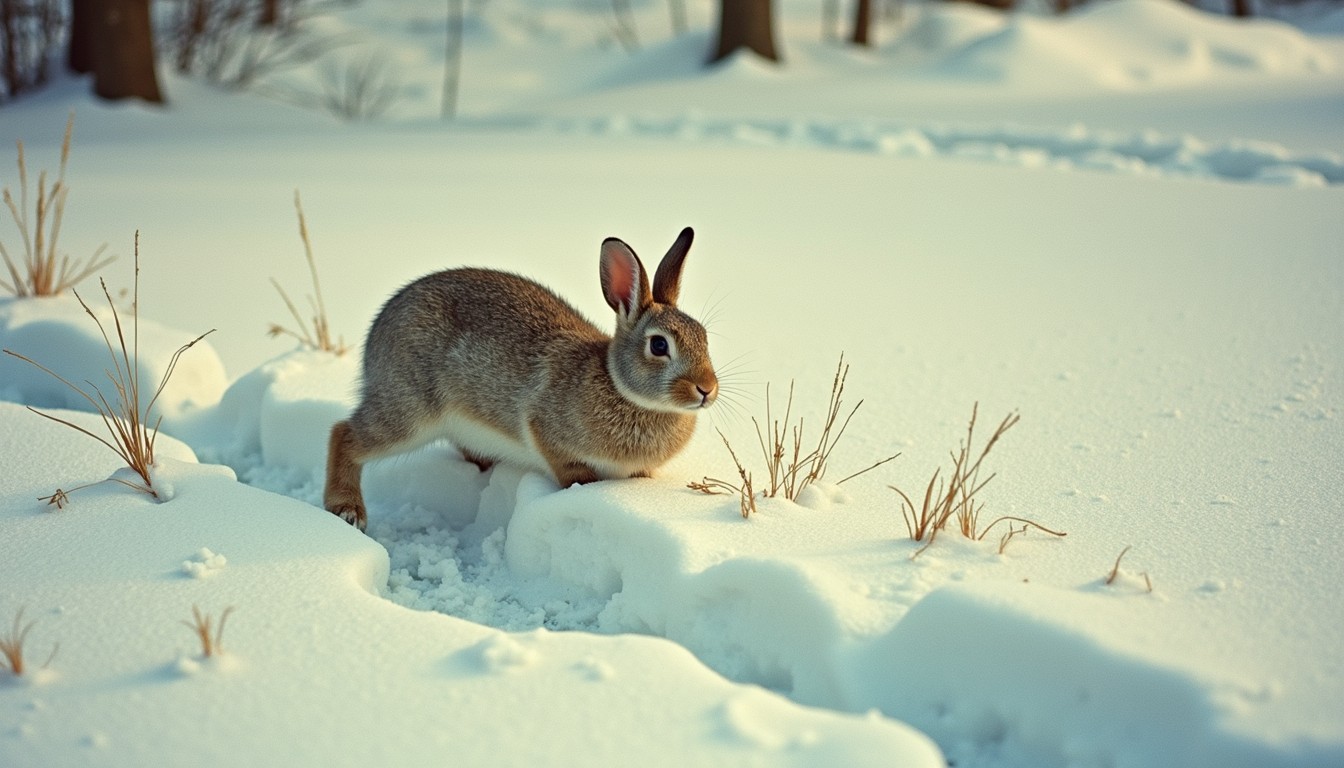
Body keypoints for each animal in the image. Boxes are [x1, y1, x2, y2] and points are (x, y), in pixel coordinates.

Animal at [324, 227, 719, 530]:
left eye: (704, 338)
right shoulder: (548, 434)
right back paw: (346, 511)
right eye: (658, 345)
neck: (619, 386)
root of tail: (377, 330)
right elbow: (571, 472)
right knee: (345, 434)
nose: (707, 389)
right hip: (410, 408)